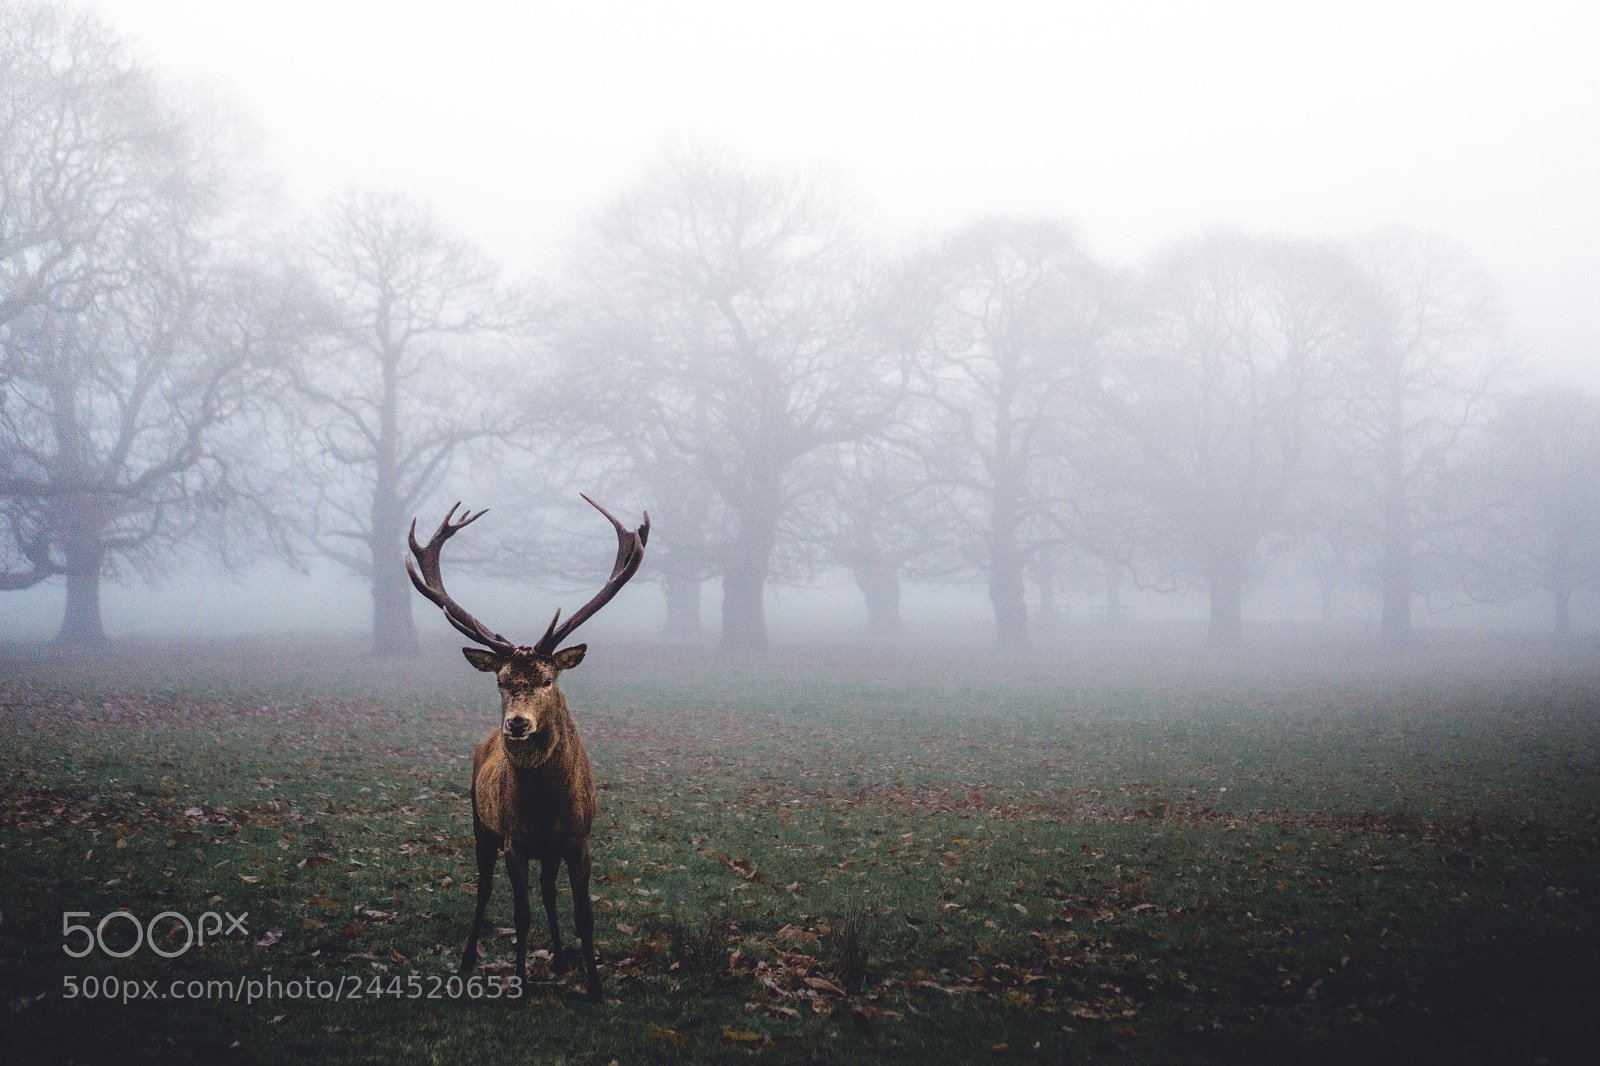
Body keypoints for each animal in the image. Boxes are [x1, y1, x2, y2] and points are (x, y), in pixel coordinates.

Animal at [406, 496, 648, 1002]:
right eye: (500, 681)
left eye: (548, 679)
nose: (516, 723)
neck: (545, 806)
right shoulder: (515, 841)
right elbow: (520, 916)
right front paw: (519, 983)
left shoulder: (578, 839)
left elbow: (583, 914)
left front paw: (594, 987)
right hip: (480, 823)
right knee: (482, 889)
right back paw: (467, 961)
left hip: (545, 850)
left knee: (548, 890)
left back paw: (558, 957)